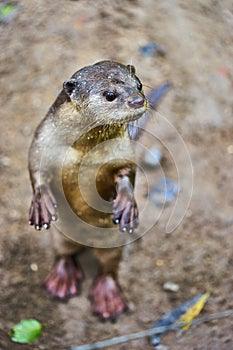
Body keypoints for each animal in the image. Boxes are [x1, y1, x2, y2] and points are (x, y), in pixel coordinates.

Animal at [28, 60, 168, 320]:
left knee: (109, 268)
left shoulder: (123, 150)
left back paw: (108, 297)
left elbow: (127, 172)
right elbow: (35, 166)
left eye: (139, 85)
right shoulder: (42, 138)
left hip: (115, 244)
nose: (137, 100)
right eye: (110, 94)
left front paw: (126, 204)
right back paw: (62, 279)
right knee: (63, 252)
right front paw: (41, 204)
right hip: (61, 236)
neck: (84, 150)